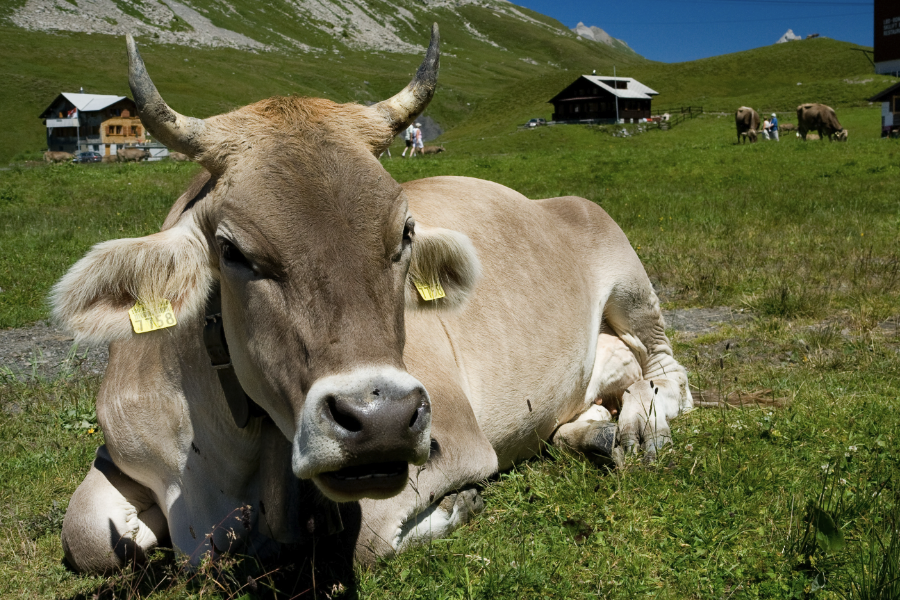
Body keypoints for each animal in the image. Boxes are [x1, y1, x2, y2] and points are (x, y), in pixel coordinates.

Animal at [54, 27, 688, 572]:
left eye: (405, 232)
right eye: (232, 250)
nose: (381, 419)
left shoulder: (452, 436)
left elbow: (369, 538)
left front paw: (460, 504)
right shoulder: (120, 452)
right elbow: (86, 536)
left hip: (629, 277)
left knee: (666, 370)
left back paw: (643, 424)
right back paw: (597, 430)